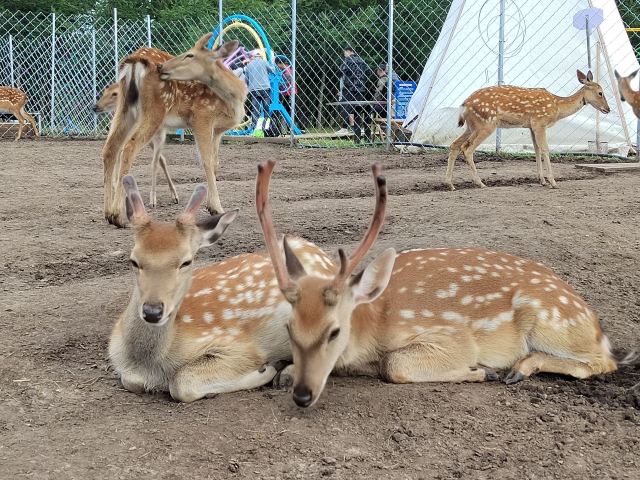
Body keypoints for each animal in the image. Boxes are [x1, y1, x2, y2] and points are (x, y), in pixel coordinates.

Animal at [102, 36, 247, 227]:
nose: (162, 67)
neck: (234, 98)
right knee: (128, 147)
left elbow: (215, 162)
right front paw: (217, 208)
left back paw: (109, 214)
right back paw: (119, 216)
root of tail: (134, 61)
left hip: (125, 107)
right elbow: (206, 162)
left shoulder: (218, 130)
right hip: (155, 109)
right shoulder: (202, 117)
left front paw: (211, 206)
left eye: (190, 55)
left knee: (110, 148)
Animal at [109, 175, 337, 402]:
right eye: (133, 260)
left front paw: (266, 370)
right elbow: (130, 381)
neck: (150, 364)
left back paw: (287, 374)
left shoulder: (240, 346)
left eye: (186, 261)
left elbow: (181, 384)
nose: (152, 311)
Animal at [256, 160, 620, 408]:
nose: (303, 396)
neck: (373, 325)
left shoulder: (450, 334)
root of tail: (595, 324)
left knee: (605, 362)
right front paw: (284, 371)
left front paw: (482, 370)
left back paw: (519, 367)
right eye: (289, 328)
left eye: (334, 331)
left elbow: (393, 364)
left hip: (550, 321)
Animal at [445, 70, 610, 191]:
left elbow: (536, 150)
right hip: (486, 123)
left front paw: (542, 180)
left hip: (471, 126)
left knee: (454, 145)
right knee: (467, 148)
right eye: (600, 92)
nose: (608, 109)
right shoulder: (540, 122)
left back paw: (450, 184)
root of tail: (464, 105)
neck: (557, 108)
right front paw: (553, 182)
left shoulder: (531, 126)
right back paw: (479, 183)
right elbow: (545, 149)